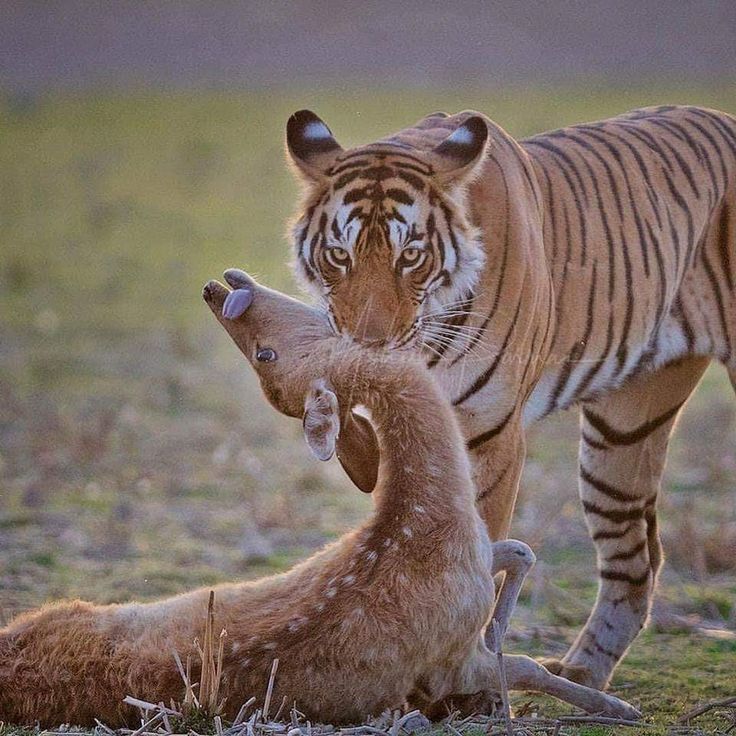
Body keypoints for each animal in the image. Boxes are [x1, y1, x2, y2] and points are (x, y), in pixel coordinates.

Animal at [283, 105, 736, 690]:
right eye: (340, 255)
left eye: (411, 256)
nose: (370, 344)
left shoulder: (488, 432)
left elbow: (473, 550)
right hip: (623, 435)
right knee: (635, 561)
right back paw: (580, 674)